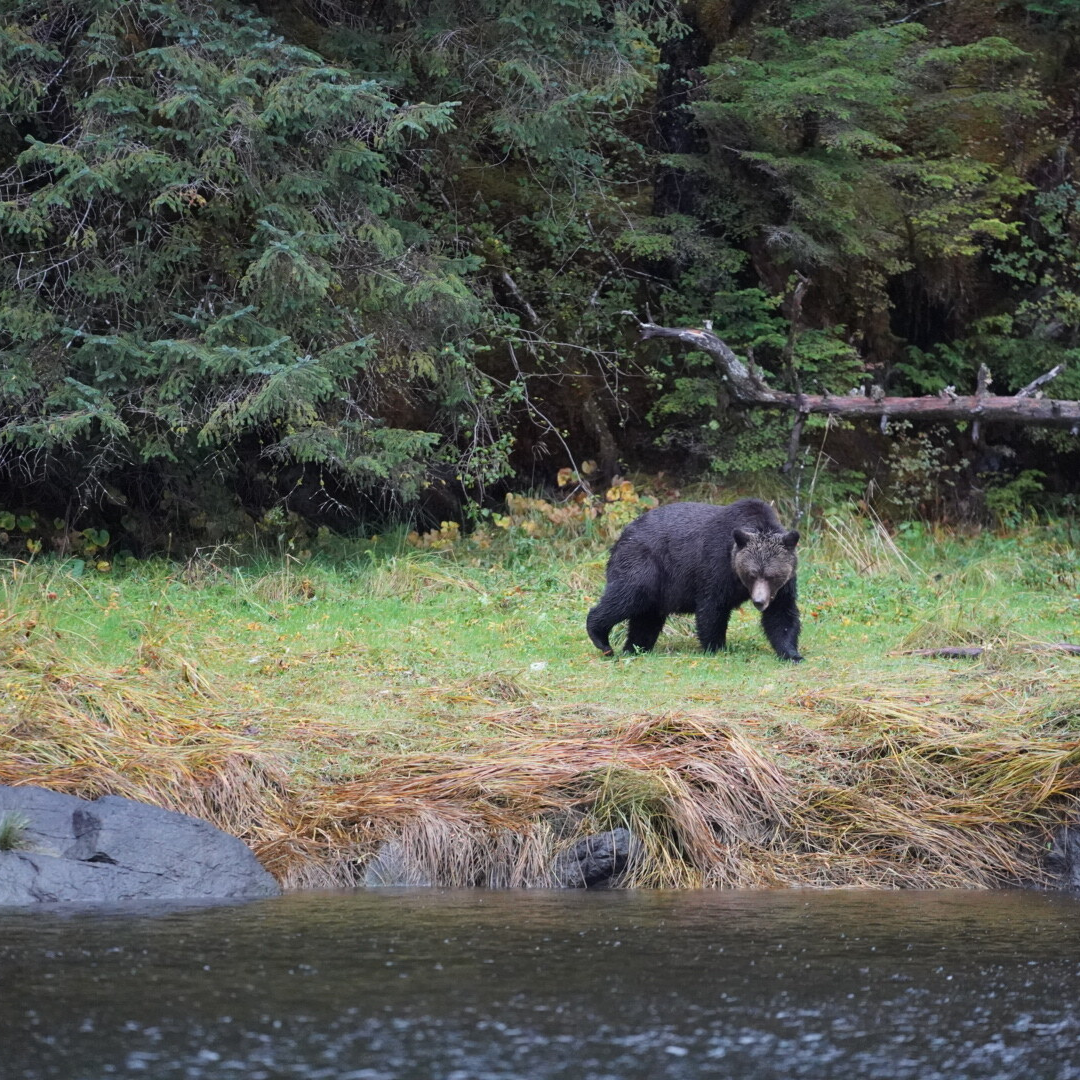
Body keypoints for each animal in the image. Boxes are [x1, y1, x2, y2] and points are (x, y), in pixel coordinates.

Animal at [586, 498, 802, 662]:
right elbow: (712, 608)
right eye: (752, 574)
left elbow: (781, 614)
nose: (759, 602)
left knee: (646, 619)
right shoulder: (716, 566)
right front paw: (716, 646)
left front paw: (792, 653)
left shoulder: (784, 585)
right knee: (627, 596)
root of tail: (624, 533)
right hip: (644, 564)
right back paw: (601, 639)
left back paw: (636, 647)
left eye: (771, 576)